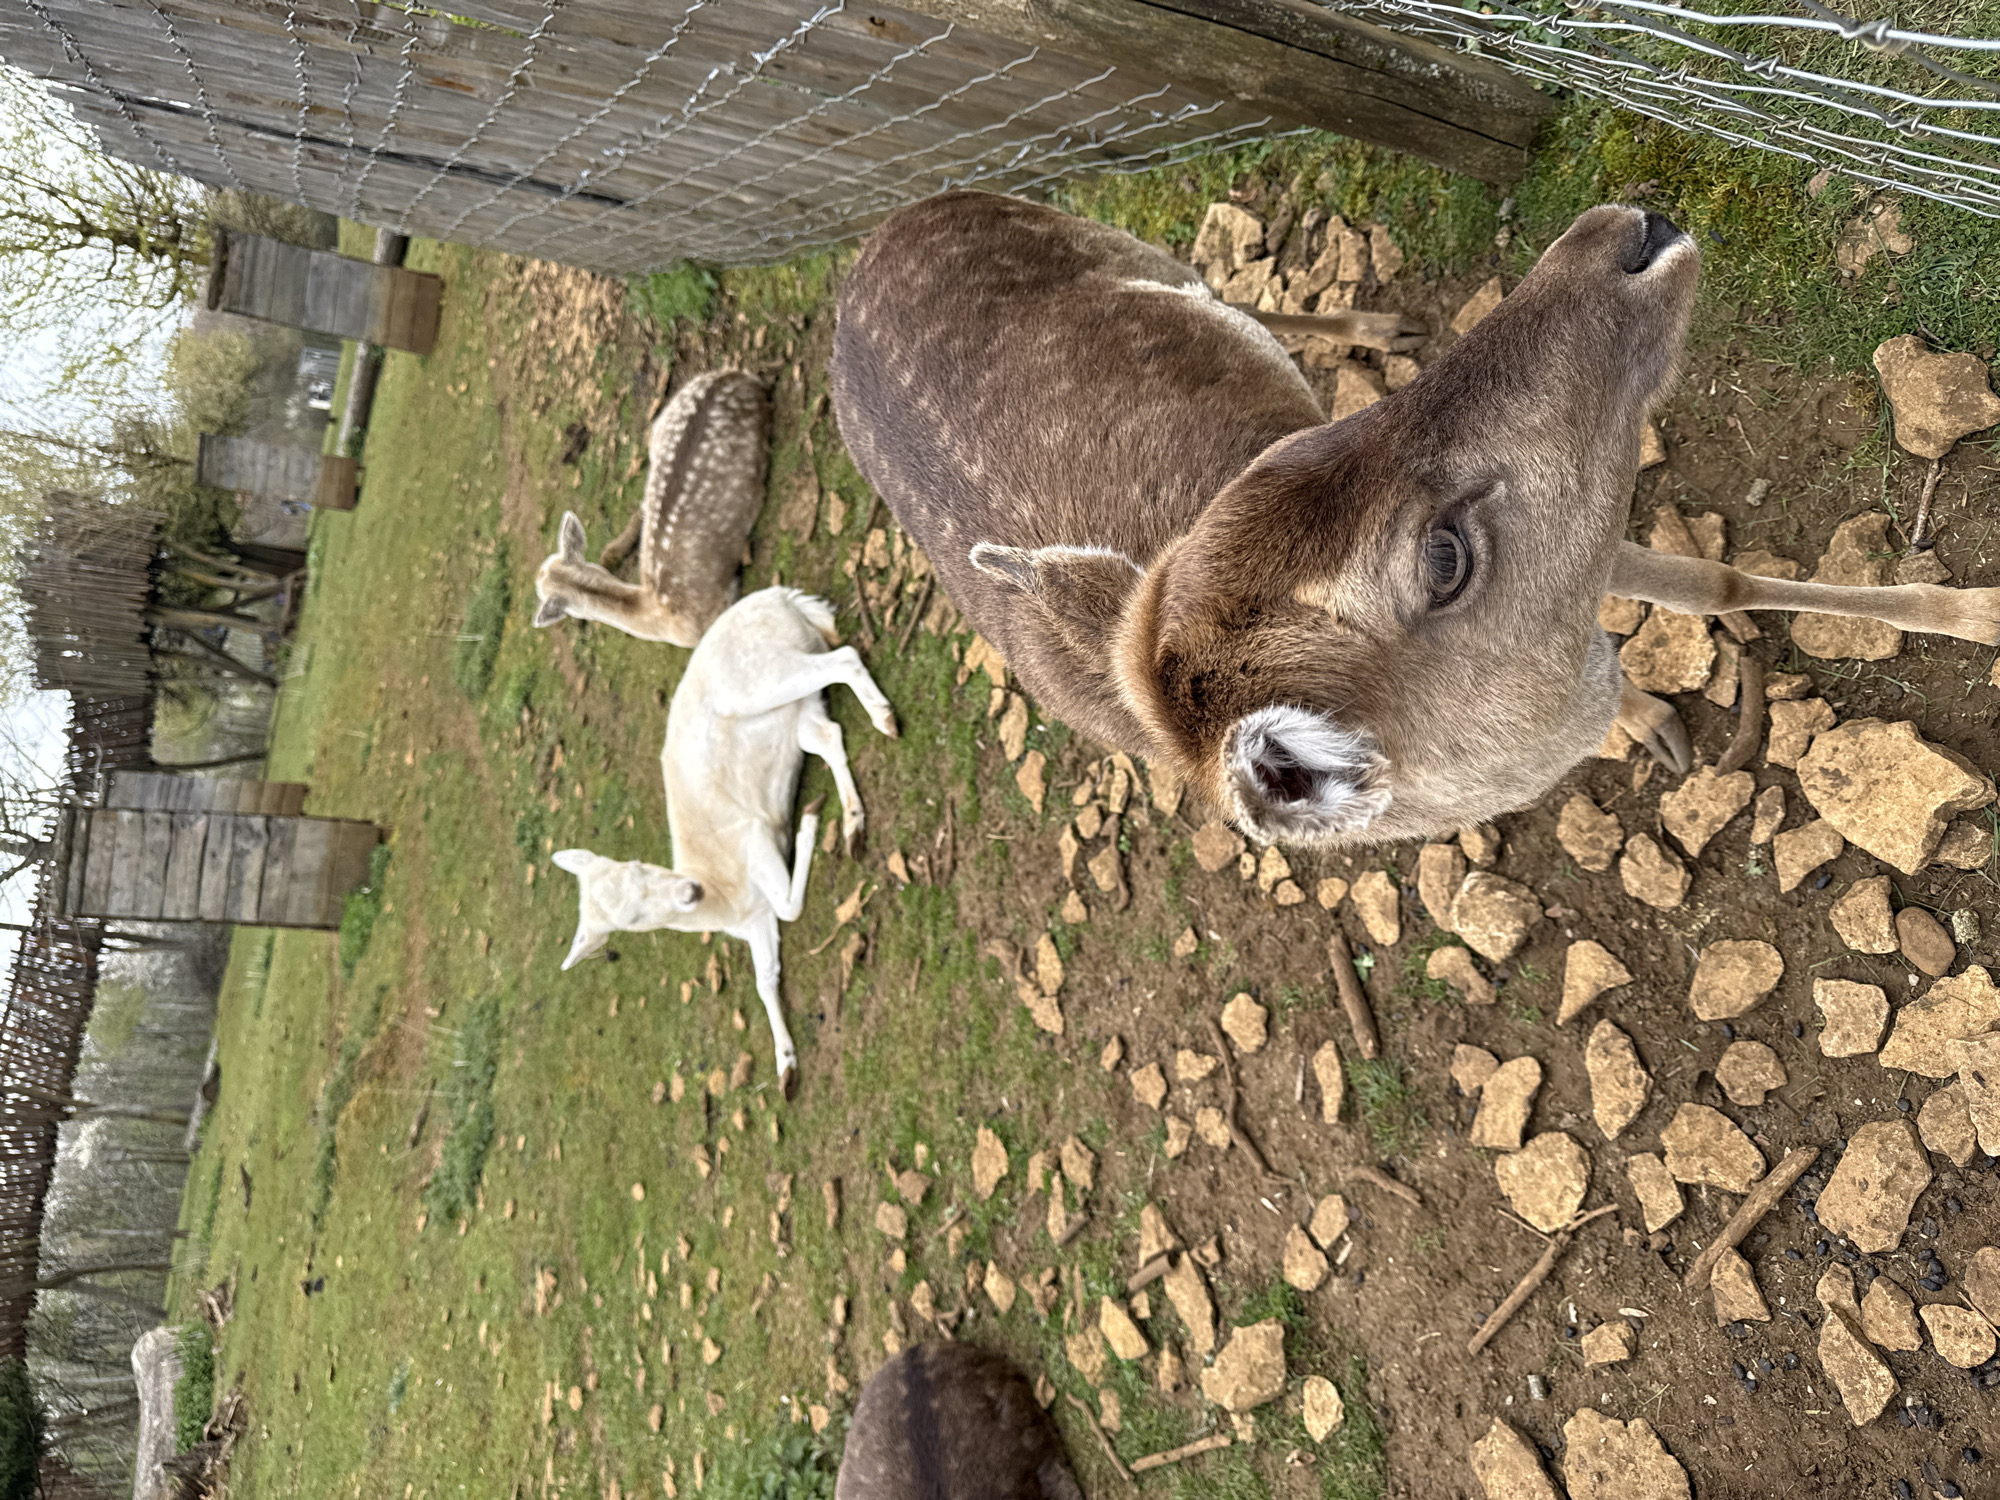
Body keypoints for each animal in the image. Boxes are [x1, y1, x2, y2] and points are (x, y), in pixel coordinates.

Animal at [551, 587, 898, 1096]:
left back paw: (884, 718)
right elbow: (765, 980)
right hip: (799, 710)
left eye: (637, 866)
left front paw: (807, 824)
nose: (687, 892)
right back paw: (854, 823)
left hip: (763, 676)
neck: (723, 896)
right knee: (829, 734)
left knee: (845, 658)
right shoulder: (753, 922)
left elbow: (789, 907)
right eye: (631, 919)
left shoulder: (753, 839)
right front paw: (786, 1069)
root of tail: (779, 598)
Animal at [830, 192, 2000, 847]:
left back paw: (1376, 319)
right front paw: (1654, 726)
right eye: (1441, 558)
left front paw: (1976, 611)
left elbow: (1721, 580)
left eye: (1294, 452)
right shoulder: (1575, 568)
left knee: (1230, 287)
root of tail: (867, 243)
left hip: (1145, 252)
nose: (1627, 231)